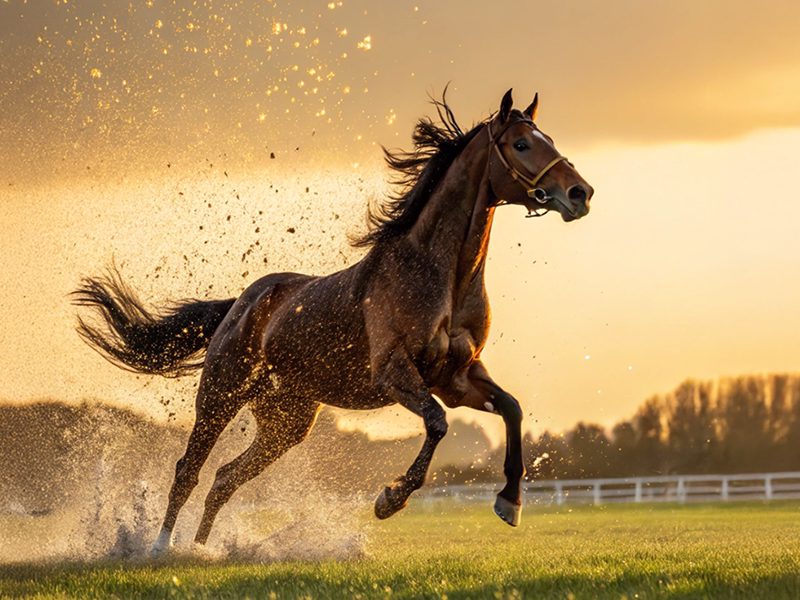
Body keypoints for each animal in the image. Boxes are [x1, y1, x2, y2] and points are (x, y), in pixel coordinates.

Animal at [72, 88, 593, 555]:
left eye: (546, 138)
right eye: (521, 144)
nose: (580, 193)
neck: (437, 273)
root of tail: (241, 304)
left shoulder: (457, 378)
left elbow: (511, 409)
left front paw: (510, 503)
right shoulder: (395, 373)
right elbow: (438, 424)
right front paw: (389, 500)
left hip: (286, 423)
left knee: (224, 479)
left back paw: (205, 551)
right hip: (221, 397)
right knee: (189, 471)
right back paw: (161, 549)